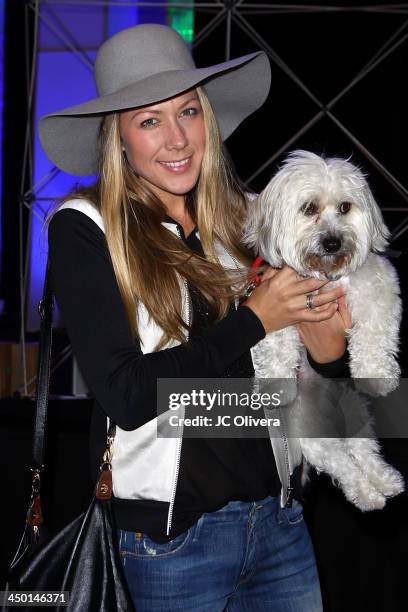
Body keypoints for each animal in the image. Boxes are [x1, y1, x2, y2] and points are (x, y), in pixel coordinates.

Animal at [242, 151, 404, 510]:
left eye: (345, 207)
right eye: (309, 208)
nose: (332, 241)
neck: (326, 277)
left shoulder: (379, 289)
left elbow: (373, 336)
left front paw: (375, 375)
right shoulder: (272, 304)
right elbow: (278, 346)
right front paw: (276, 385)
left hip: (356, 415)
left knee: (364, 452)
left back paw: (384, 483)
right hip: (317, 439)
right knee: (345, 466)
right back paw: (369, 494)